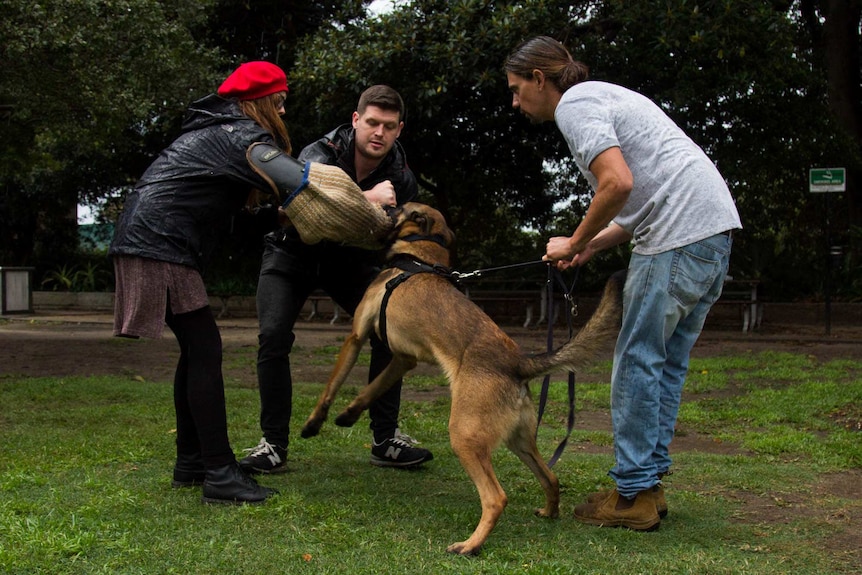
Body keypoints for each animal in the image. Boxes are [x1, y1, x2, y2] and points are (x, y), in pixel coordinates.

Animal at [300, 204, 624, 560]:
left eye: (400, 208)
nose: (386, 204)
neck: (420, 257)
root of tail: (518, 363)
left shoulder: (357, 337)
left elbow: (331, 386)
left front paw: (314, 423)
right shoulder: (403, 359)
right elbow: (372, 389)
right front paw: (348, 415)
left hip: (464, 437)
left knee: (496, 498)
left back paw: (470, 545)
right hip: (518, 441)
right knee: (550, 477)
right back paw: (548, 512)